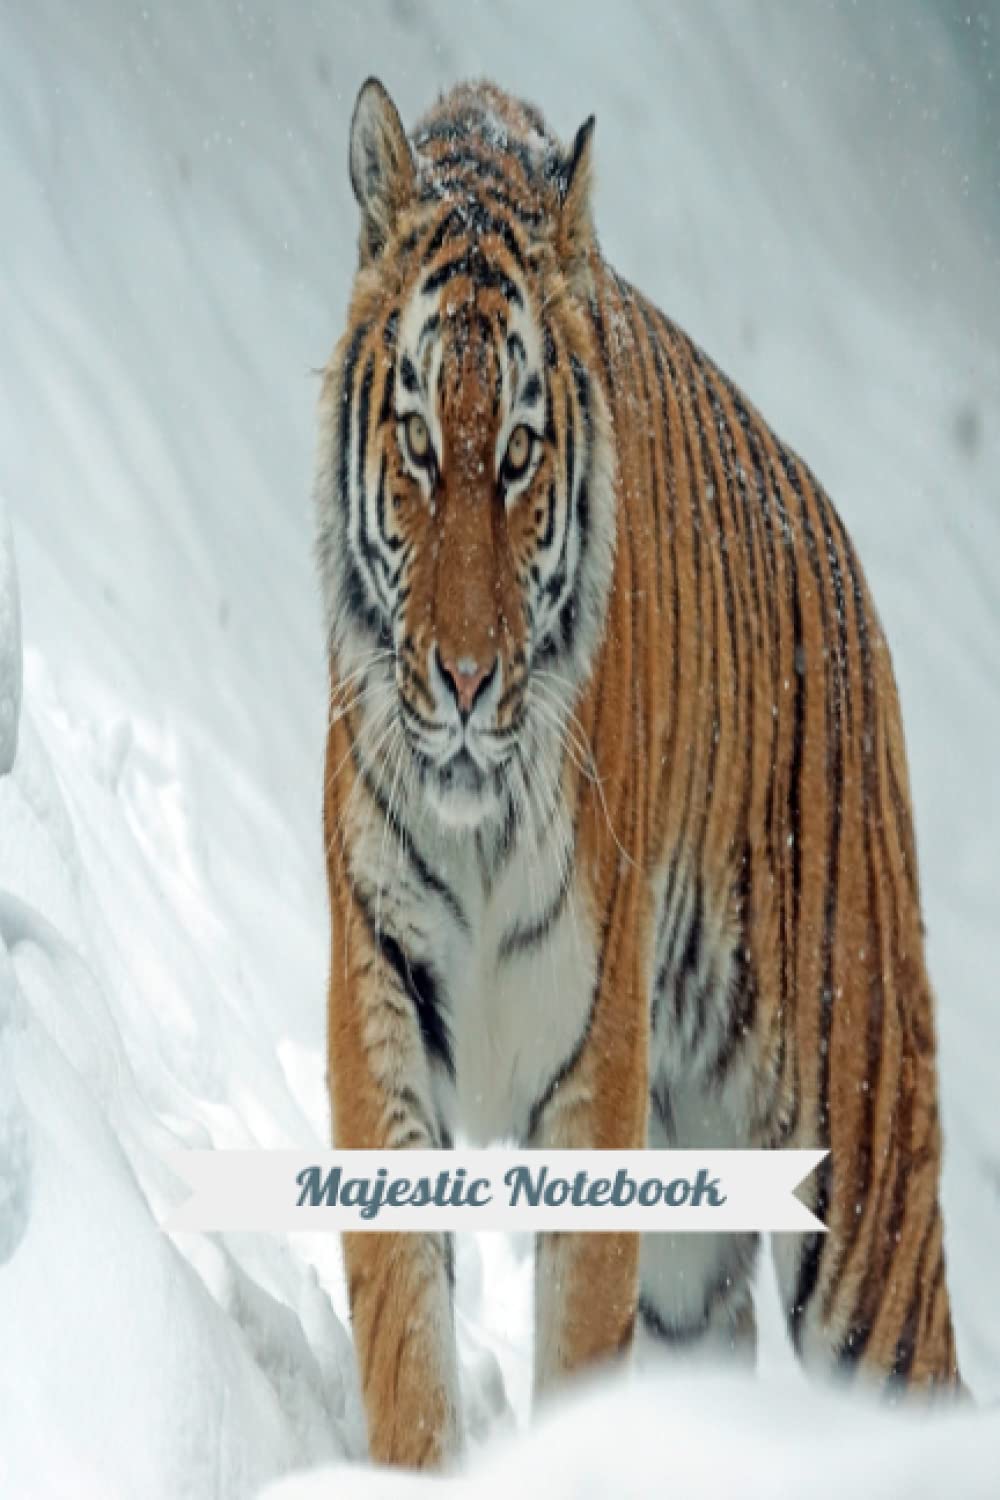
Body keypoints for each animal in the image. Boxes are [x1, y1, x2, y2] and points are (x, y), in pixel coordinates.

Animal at [313, 76, 962, 1469]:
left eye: (516, 453)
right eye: (417, 442)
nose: (461, 680)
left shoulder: (589, 1054)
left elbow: (573, 1333)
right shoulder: (382, 991)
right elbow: (406, 1330)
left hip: (860, 1182)